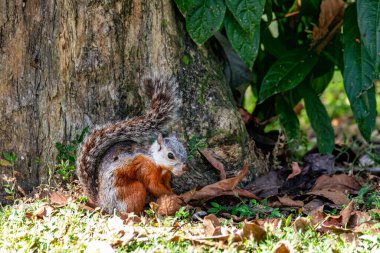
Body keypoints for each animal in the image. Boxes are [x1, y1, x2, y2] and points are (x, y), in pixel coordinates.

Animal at [77, 76, 189, 213]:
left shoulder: (165, 176)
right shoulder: (146, 168)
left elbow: (166, 185)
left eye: (184, 150)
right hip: (132, 190)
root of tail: (104, 205)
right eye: (170, 155)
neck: (158, 162)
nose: (185, 168)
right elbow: (154, 186)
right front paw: (174, 197)